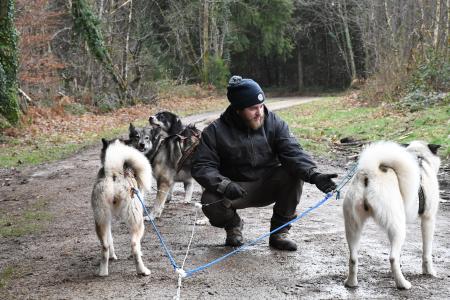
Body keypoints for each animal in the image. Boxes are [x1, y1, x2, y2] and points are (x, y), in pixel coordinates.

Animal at [90, 138, 152, 276]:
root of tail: (114, 174)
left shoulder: (107, 221)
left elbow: (110, 240)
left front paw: (112, 257)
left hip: (101, 219)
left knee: (105, 245)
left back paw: (103, 271)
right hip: (137, 221)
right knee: (134, 244)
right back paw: (142, 270)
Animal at [342, 142, 442, 290]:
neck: (420, 159)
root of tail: (370, 173)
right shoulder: (428, 219)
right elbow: (426, 252)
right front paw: (429, 271)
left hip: (353, 227)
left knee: (353, 258)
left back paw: (351, 283)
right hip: (397, 228)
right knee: (393, 257)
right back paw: (402, 284)